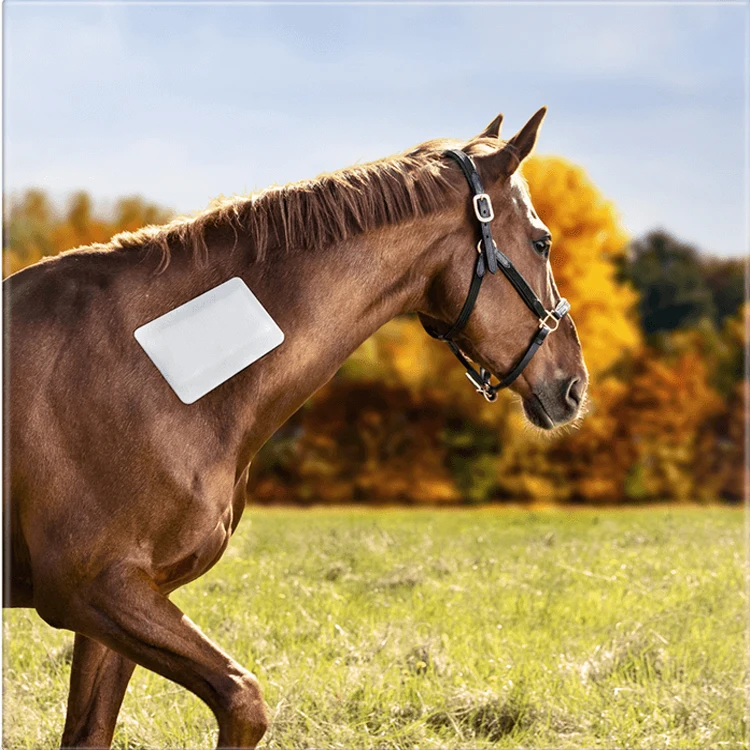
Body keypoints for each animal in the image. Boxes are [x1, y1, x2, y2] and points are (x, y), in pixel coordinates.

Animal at [4, 107, 588, 749]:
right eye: (542, 241)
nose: (574, 385)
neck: (154, 373)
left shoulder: (124, 599)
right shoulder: (92, 588)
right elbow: (244, 701)